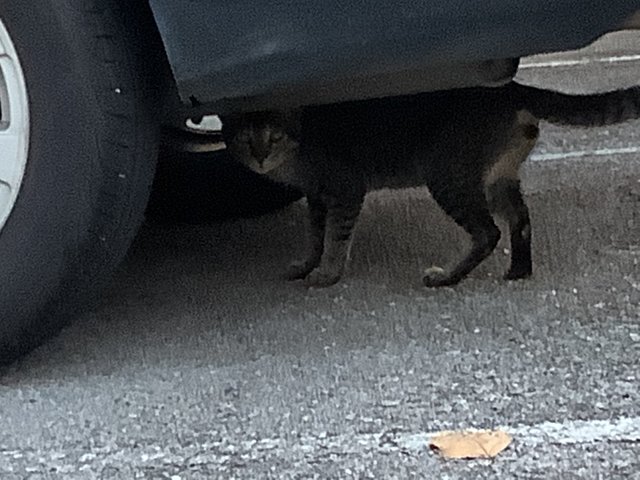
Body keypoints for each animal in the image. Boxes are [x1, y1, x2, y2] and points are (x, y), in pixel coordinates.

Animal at [220, 80, 640, 286]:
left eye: (274, 137)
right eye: (245, 138)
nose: (260, 157)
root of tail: (511, 88)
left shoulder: (344, 190)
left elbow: (336, 239)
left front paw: (327, 274)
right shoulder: (316, 197)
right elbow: (313, 237)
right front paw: (306, 265)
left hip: (447, 177)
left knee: (488, 233)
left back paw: (448, 278)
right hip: (498, 178)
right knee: (521, 222)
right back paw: (518, 271)